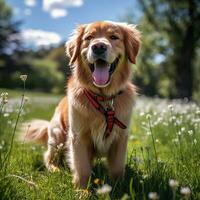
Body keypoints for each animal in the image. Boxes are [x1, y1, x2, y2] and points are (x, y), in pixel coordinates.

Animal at [22, 21, 141, 188]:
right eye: (89, 38)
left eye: (114, 37)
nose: (98, 47)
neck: (103, 97)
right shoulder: (78, 137)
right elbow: (82, 168)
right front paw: (82, 190)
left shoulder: (121, 137)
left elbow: (117, 168)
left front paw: (119, 187)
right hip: (58, 135)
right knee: (48, 157)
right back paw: (55, 170)